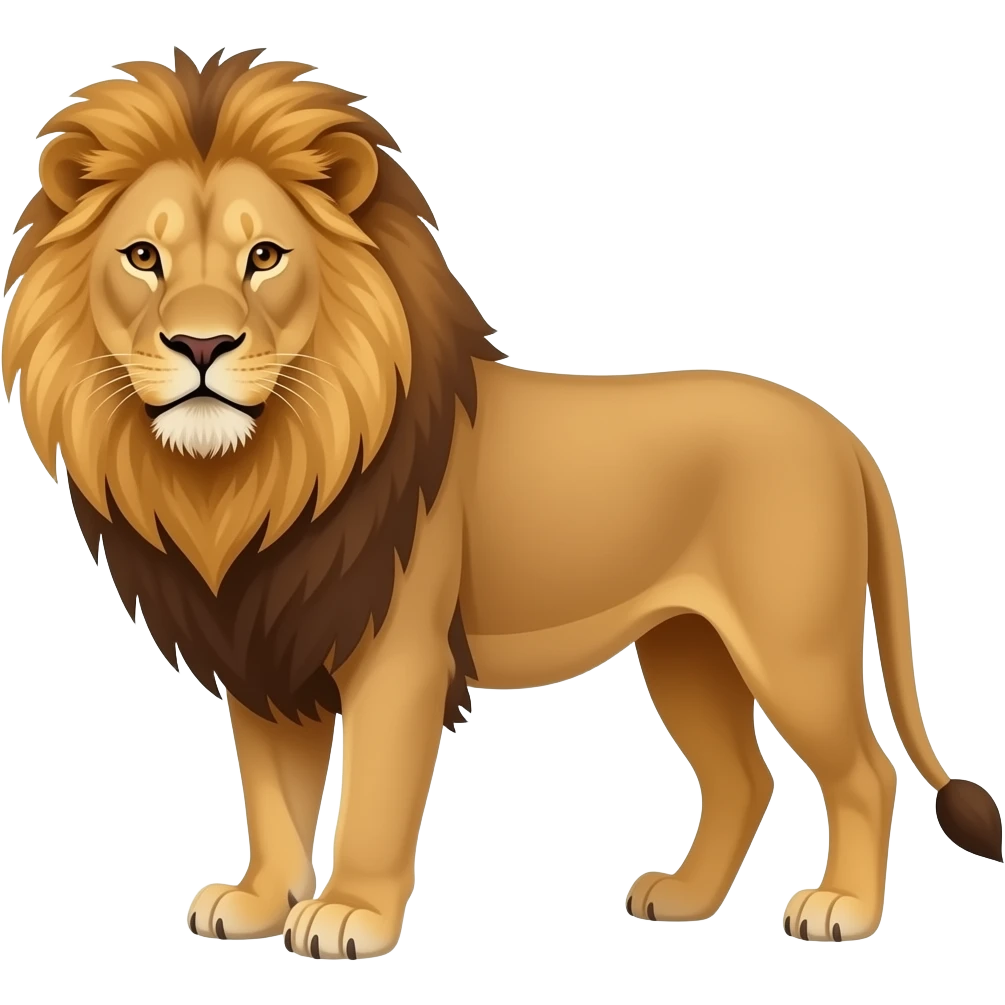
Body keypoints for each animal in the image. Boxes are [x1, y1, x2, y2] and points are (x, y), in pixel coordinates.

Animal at [2, 47, 1001, 959]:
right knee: (743, 778)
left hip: (792, 644)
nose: (201, 344)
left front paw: (349, 915)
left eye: (265, 256)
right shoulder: (265, 641)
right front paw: (255, 904)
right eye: (143, 256)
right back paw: (682, 900)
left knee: (866, 771)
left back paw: (842, 909)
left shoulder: (396, 653)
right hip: (688, 647)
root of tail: (844, 438)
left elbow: (373, 798)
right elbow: (274, 797)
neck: (252, 476)